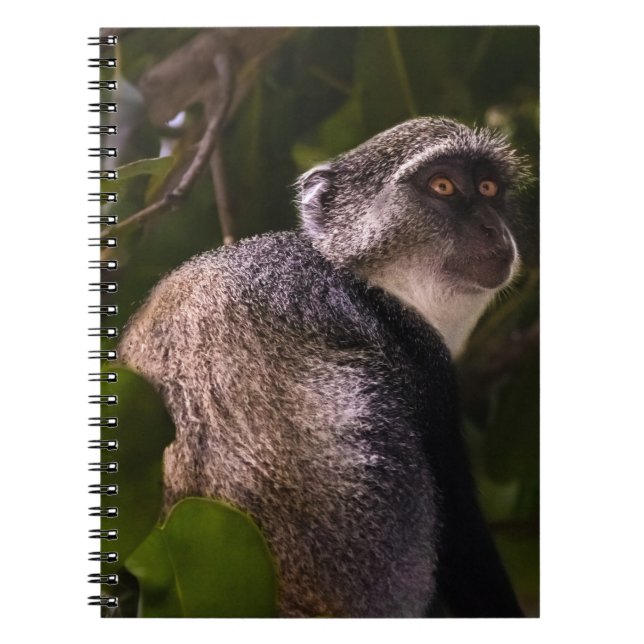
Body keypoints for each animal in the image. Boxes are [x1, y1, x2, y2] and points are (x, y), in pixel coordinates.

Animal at [119, 116, 529, 617]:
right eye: (443, 186)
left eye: (489, 188)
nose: (492, 226)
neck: (368, 278)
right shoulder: (419, 358)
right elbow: (462, 538)